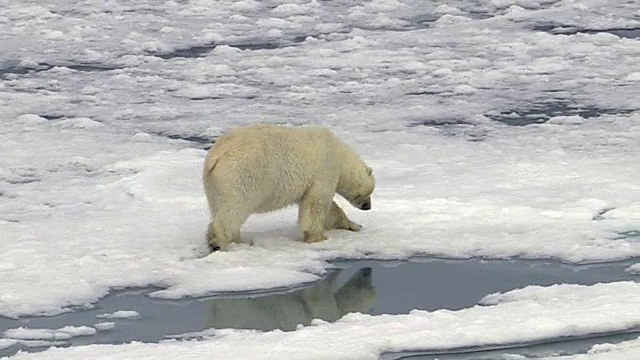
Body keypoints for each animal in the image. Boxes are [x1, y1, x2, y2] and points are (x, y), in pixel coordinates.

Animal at [204, 125, 376, 252]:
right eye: (367, 193)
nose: (368, 206)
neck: (340, 153)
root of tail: (216, 155)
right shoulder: (324, 170)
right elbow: (317, 203)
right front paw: (318, 237)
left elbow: (329, 209)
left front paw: (354, 225)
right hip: (243, 174)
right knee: (235, 207)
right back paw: (218, 242)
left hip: (213, 183)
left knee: (218, 206)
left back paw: (237, 240)